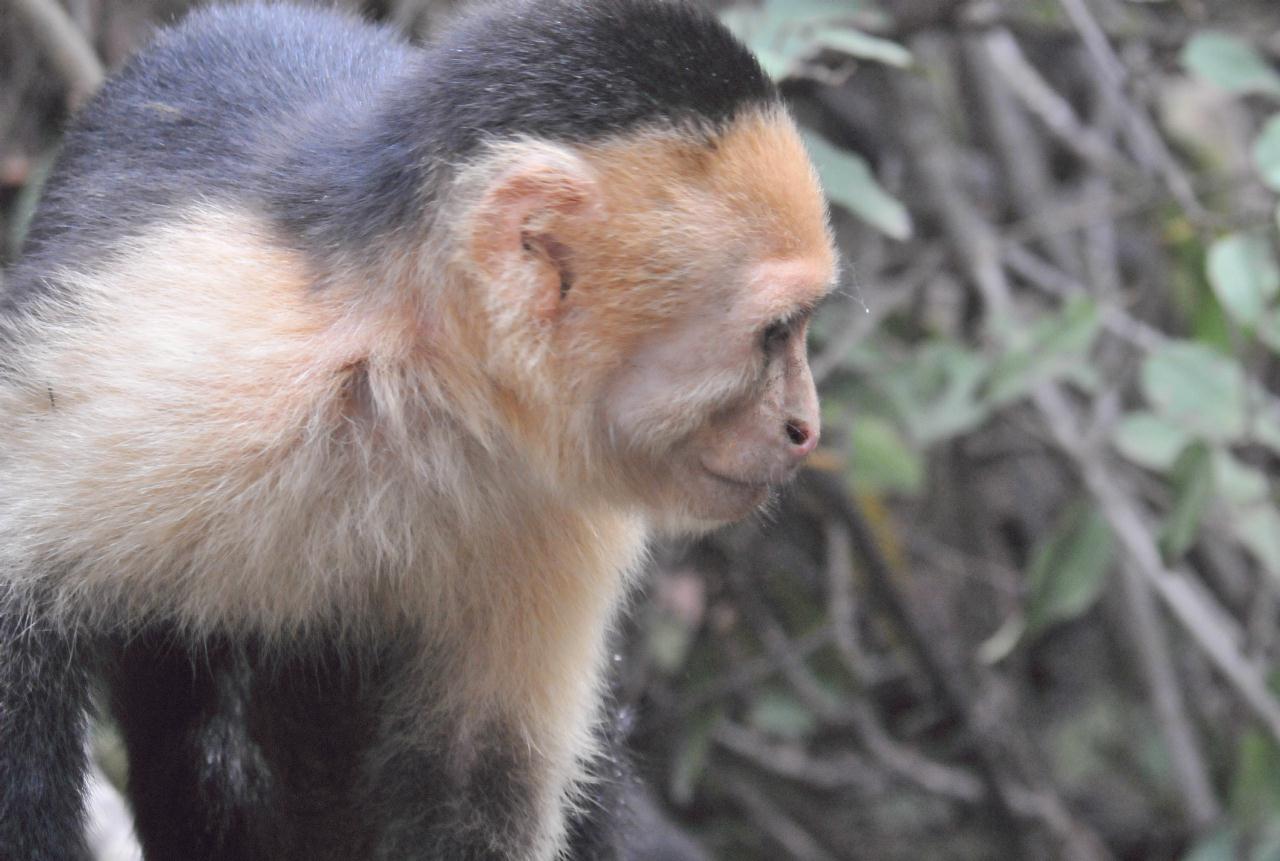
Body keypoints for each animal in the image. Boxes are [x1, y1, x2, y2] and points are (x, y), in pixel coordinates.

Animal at [0, 1, 834, 854]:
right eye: (774, 333)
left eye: (796, 328)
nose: (806, 426)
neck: (427, 386)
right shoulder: (188, 362)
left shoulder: (556, 508)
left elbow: (475, 779)